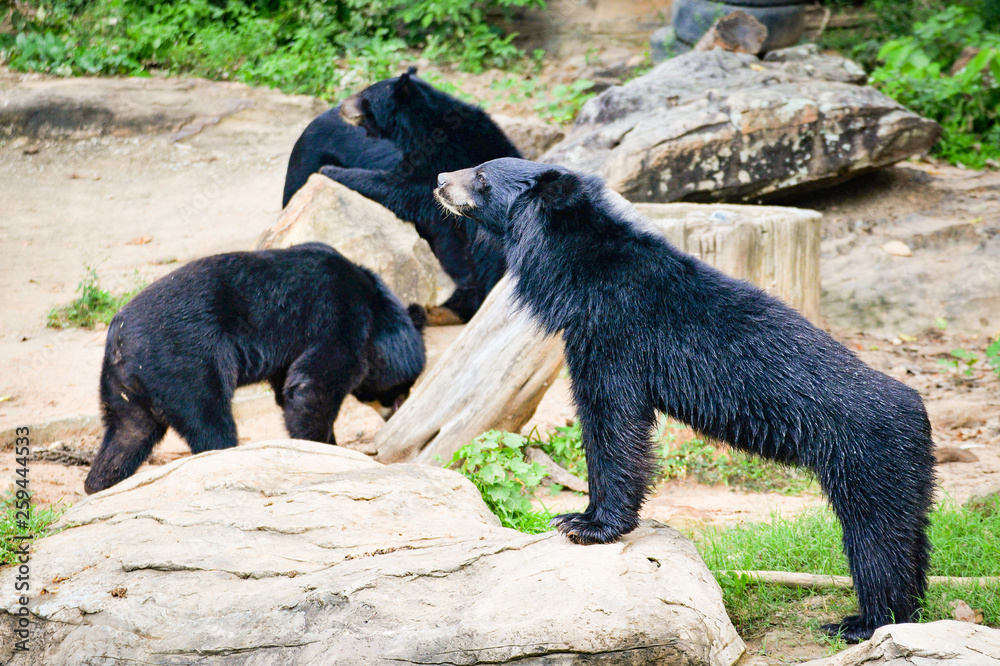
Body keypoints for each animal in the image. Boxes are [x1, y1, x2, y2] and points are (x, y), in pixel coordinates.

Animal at [84, 242, 426, 495]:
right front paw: (325, 449)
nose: (394, 413)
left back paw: (98, 485)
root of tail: (119, 339)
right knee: (209, 422)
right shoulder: (338, 316)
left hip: (125, 387)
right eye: (398, 392)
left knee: (128, 434)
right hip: (184, 362)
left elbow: (290, 388)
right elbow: (315, 384)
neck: (374, 303)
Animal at [295, 68, 521, 322]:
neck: (423, 123)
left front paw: (330, 170)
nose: (342, 106)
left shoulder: (441, 157)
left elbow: (403, 188)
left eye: (365, 96)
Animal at [434, 158, 936, 643]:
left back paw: (865, 622)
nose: (440, 180)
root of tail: (918, 413)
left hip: (865, 462)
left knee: (876, 540)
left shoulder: (611, 334)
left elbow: (612, 421)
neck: (578, 270)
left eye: (481, 175)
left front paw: (583, 524)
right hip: (907, 475)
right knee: (912, 537)